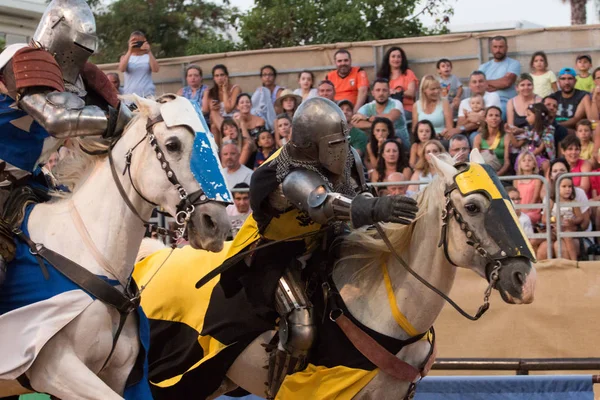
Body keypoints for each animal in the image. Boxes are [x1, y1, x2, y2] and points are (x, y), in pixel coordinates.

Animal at [0, 94, 232, 400]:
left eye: (215, 148)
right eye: (173, 145)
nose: (216, 226)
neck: (90, 253)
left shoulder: (117, 375)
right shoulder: (56, 369)